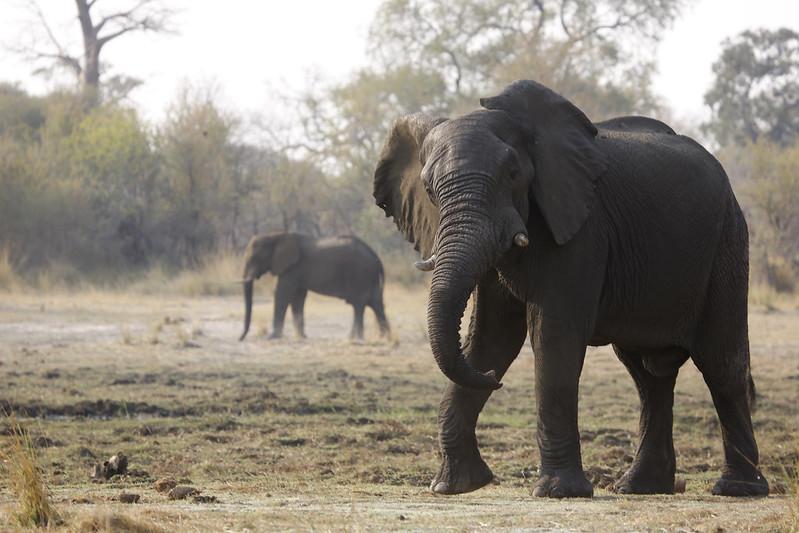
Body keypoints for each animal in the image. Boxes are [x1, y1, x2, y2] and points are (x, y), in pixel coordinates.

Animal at [239, 233, 390, 341]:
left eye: (254, 258)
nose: (240, 338)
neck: (276, 236)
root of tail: (377, 258)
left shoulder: (292, 268)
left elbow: (283, 294)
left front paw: (272, 337)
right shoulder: (297, 271)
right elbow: (298, 298)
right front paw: (301, 336)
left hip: (360, 274)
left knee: (359, 305)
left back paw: (358, 338)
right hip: (368, 277)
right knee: (375, 304)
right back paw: (384, 338)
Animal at [373, 80, 768, 498]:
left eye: (512, 174)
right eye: (429, 190)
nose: (494, 379)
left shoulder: (582, 227)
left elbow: (553, 335)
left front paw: (558, 491)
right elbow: (491, 338)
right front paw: (454, 486)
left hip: (727, 241)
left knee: (721, 364)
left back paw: (736, 489)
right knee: (647, 376)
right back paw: (639, 487)